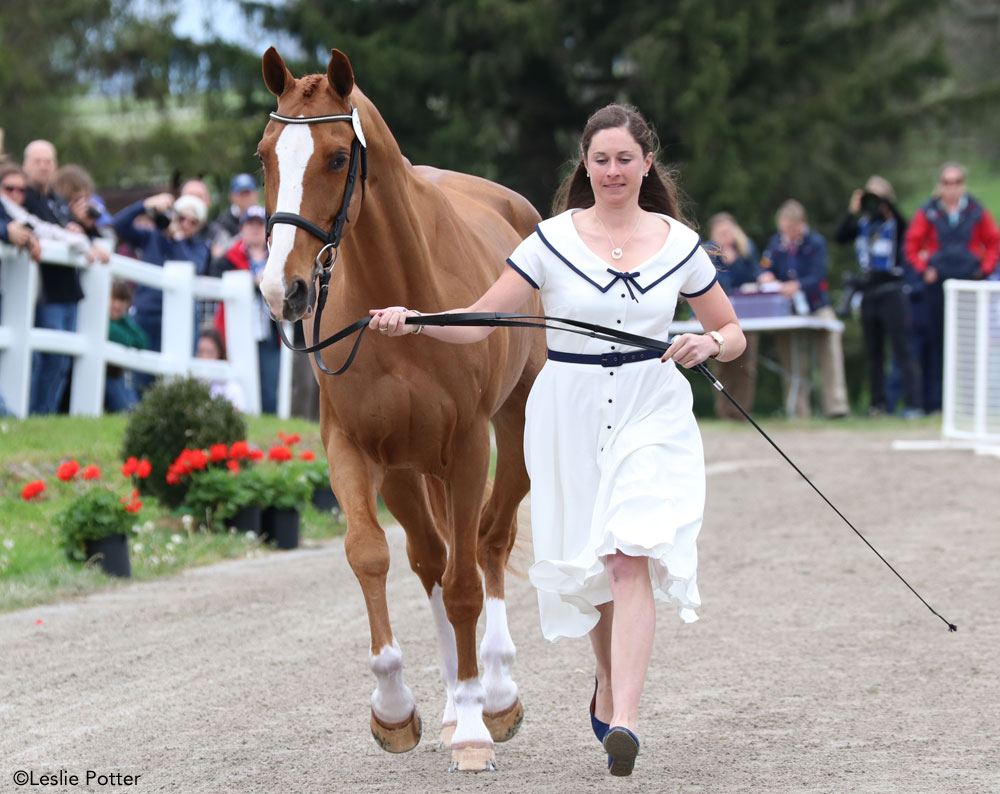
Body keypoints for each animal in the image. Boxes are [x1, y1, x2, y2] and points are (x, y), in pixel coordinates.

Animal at [254, 46, 544, 772]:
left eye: (337, 157)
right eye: (263, 155)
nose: (282, 289)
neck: (401, 302)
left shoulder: (468, 447)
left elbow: (468, 580)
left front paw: (473, 729)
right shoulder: (354, 448)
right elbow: (370, 556)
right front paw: (395, 709)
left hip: (512, 426)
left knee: (490, 541)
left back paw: (494, 695)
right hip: (410, 469)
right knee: (429, 558)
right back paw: (452, 702)